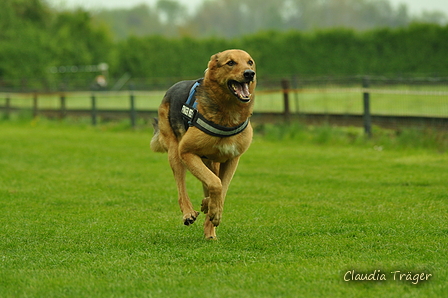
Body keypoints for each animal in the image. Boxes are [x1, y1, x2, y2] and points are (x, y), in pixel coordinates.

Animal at [150, 49, 256, 240]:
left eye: (250, 62)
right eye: (230, 63)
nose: (249, 74)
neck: (227, 114)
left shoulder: (232, 160)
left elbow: (221, 187)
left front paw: (213, 211)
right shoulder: (187, 153)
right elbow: (216, 183)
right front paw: (212, 209)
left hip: (210, 161)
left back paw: (209, 228)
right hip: (175, 154)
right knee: (182, 187)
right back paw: (189, 213)